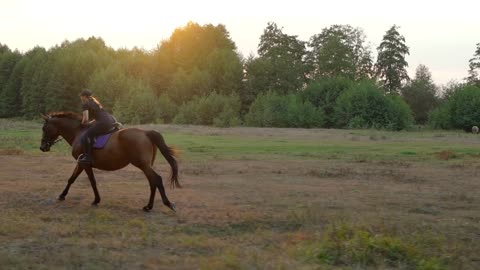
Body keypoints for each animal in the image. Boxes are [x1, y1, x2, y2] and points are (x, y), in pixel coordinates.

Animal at [39, 111, 181, 211]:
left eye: (44, 128)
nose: (42, 147)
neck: (78, 133)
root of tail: (146, 133)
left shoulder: (84, 164)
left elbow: (91, 182)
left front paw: (96, 200)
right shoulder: (81, 163)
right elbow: (71, 179)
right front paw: (62, 195)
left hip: (142, 164)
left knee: (157, 179)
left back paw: (167, 204)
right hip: (146, 165)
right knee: (152, 182)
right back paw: (148, 206)